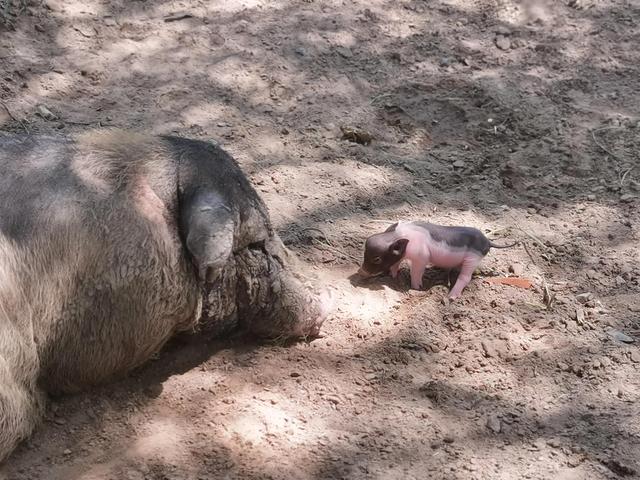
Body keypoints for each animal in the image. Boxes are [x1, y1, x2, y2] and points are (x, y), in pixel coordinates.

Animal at [358, 220, 516, 296]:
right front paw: (393, 275)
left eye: (377, 259)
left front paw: (416, 288)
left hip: (473, 258)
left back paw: (451, 297)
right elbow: (396, 263)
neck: (399, 236)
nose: (360, 272)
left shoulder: (421, 257)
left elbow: (416, 272)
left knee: (465, 277)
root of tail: (488, 241)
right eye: (365, 252)